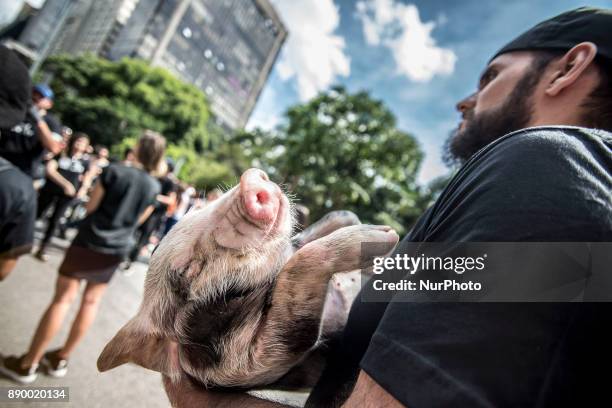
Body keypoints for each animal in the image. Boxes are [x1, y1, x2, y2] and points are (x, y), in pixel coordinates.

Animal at [96, 168, 400, 388]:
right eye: (189, 270)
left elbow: (332, 220)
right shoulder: (247, 366)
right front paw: (386, 236)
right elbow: (298, 274)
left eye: (199, 207)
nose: (250, 180)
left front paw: (382, 231)